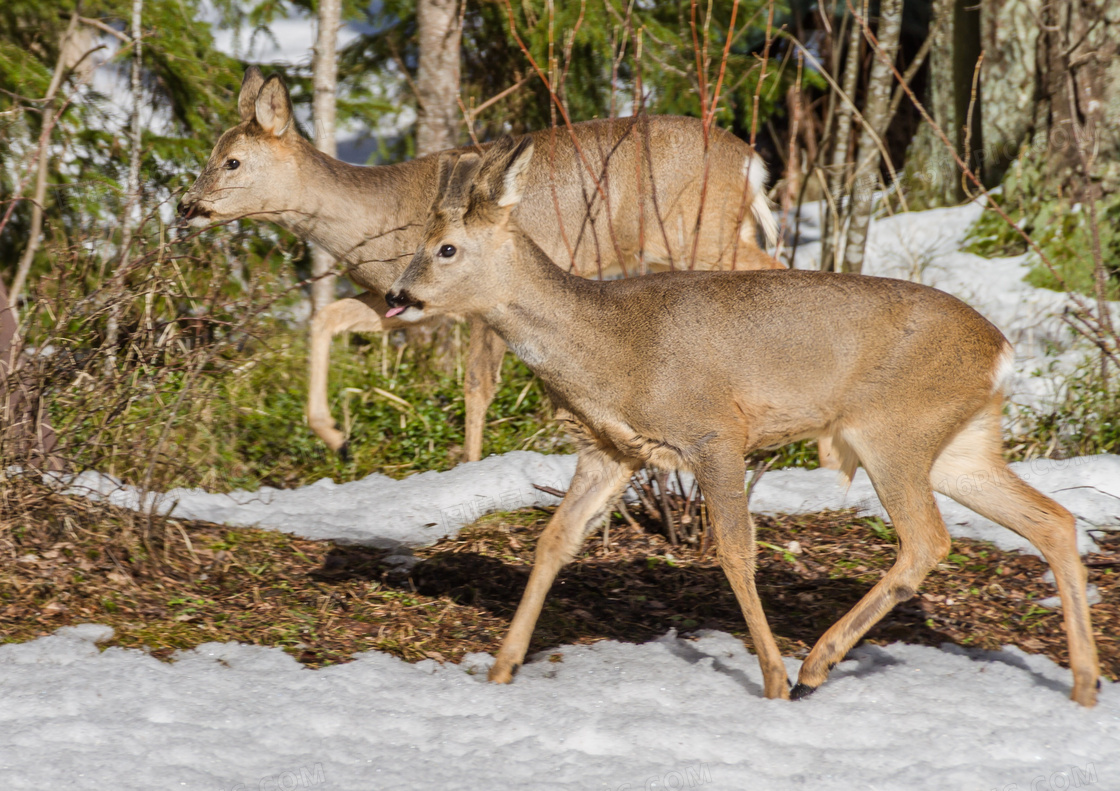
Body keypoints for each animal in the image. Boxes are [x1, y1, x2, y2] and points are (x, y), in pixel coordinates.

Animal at [176, 67, 788, 466]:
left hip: (698, 230)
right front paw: (336, 438)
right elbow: (325, 319)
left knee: (777, 266)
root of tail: (750, 163)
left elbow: (476, 384)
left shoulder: (477, 297)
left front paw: (467, 464)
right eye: (211, 154)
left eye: (232, 161)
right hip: (718, 230)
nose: (185, 206)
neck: (378, 219)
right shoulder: (402, 299)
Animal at [380, 137, 1097, 708]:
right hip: (959, 445)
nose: (396, 296)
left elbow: (734, 548)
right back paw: (1085, 684)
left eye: (445, 249)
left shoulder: (715, 431)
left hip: (893, 430)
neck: (610, 347)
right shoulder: (613, 449)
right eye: (419, 246)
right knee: (1053, 520)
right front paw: (502, 667)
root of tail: (1003, 350)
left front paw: (772, 678)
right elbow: (556, 539)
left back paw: (814, 665)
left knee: (929, 541)